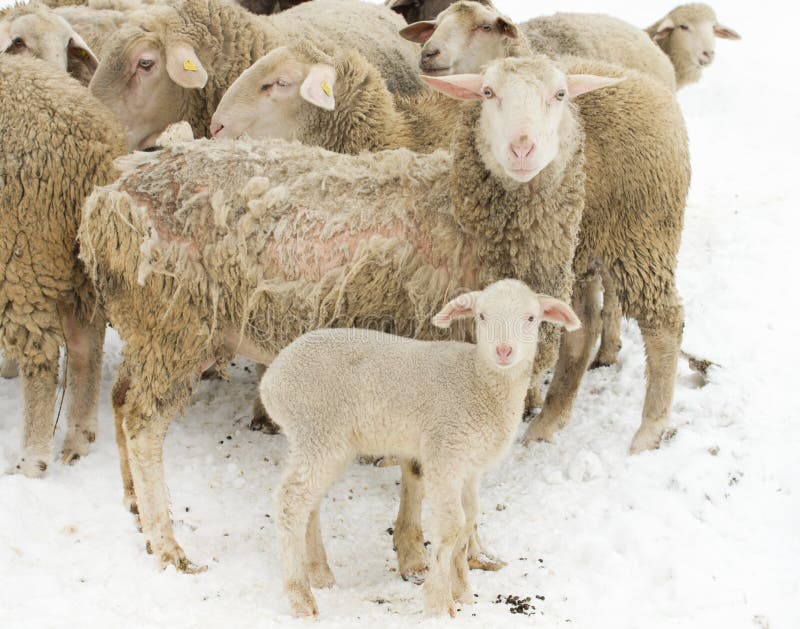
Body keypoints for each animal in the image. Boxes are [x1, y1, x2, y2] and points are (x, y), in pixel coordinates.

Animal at [0, 54, 126, 476]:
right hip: (80, 264)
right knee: (87, 343)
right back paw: (78, 438)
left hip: (24, 255)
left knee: (41, 357)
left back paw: (30, 461)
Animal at [76, 56, 620, 572]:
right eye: (487, 92)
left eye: (560, 94)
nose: (522, 149)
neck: (457, 215)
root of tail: (114, 189)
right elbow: (420, 470)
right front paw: (416, 555)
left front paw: (470, 551)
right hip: (176, 320)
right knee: (143, 422)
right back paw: (167, 544)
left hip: (149, 322)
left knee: (122, 400)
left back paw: (134, 506)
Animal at [262, 280, 580, 620]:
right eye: (481, 316)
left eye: (531, 318)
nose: (504, 351)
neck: (478, 381)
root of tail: (270, 381)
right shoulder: (444, 451)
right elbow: (452, 525)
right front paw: (438, 601)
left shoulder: (469, 466)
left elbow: (469, 520)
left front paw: (463, 592)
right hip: (317, 429)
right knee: (290, 501)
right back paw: (301, 599)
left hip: (324, 442)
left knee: (309, 502)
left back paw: (320, 575)